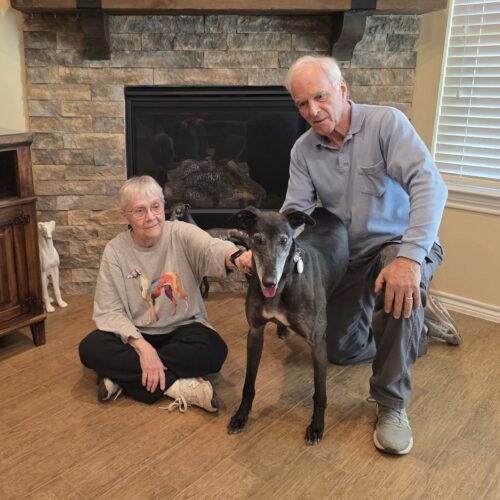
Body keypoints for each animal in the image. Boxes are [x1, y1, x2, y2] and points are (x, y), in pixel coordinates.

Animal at [227, 207, 349, 445]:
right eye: (257, 239)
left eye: (284, 240)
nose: (269, 282)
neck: (284, 284)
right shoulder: (255, 332)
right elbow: (248, 384)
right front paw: (241, 416)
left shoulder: (317, 343)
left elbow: (320, 392)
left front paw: (316, 426)